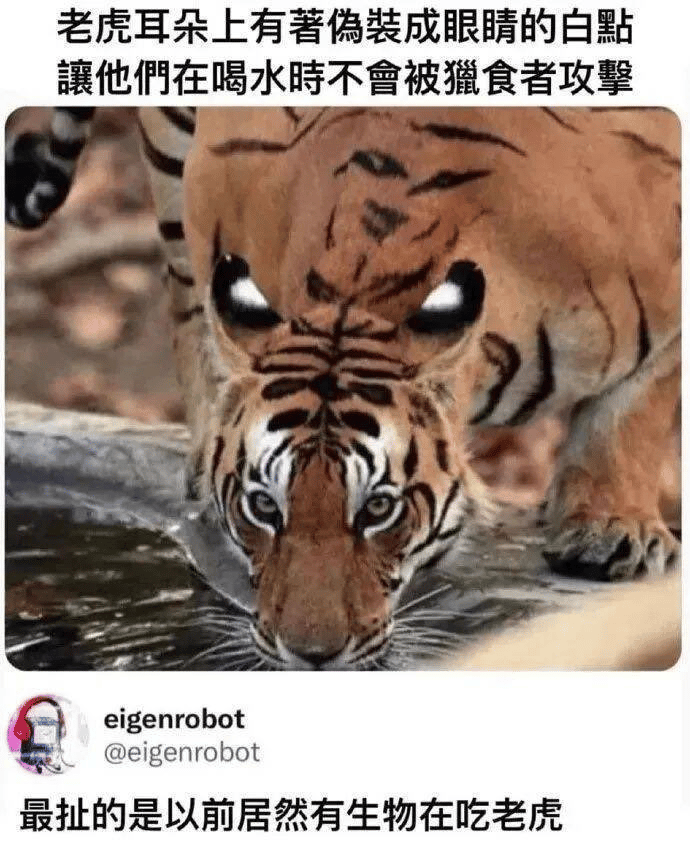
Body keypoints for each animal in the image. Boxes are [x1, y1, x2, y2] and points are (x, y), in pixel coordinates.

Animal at [5, 106, 681, 669]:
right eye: (263, 506)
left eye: (379, 509)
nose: (311, 655)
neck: (364, 298)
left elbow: (629, 419)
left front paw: (611, 528)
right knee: (185, 308)